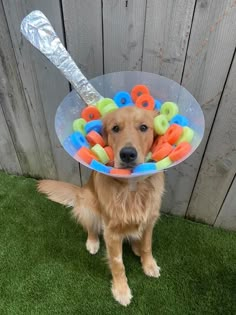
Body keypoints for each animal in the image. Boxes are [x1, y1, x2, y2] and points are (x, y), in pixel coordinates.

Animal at [38, 106, 164, 306]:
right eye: (115, 128)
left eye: (144, 127)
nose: (127, 154)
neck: (132, 187)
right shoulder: (111, 232)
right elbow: (118, 263)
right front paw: (121, 290)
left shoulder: (150, 220)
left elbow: (147, 246)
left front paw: (149, 264)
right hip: (87, 204)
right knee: (91, 227)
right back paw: (92, 243)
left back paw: (135, 246)